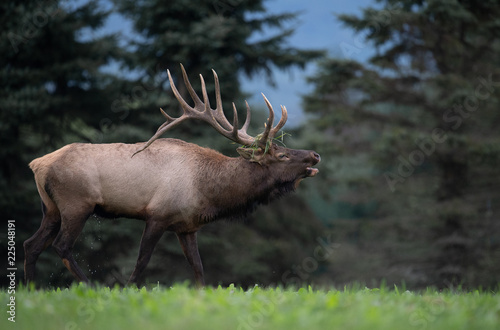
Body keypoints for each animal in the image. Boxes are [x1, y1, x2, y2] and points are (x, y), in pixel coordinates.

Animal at [24, 63, 320, 286]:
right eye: (282, 155)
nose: (315, 155)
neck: (209, 192)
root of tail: (37, 164)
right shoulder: (157, 214)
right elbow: (141, 262)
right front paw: (127, 289)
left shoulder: (187, 227)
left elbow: (199, 268)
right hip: (77, 204)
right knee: (61, 245)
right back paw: (89, 285)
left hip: (51, 208)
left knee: (31, 244)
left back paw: (31, 289)